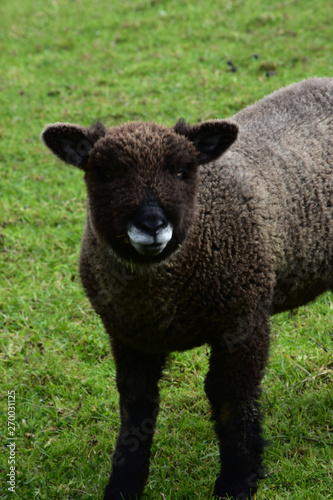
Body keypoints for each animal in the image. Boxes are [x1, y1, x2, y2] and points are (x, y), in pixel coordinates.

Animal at [41, 76, 332, 498]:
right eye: (105, 173)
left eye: (182, 170)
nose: (151, 225)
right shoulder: (127, 337)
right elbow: (136, 405)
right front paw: (124, 483)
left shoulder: (244, 321)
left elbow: (230, 396)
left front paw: (237, 480)